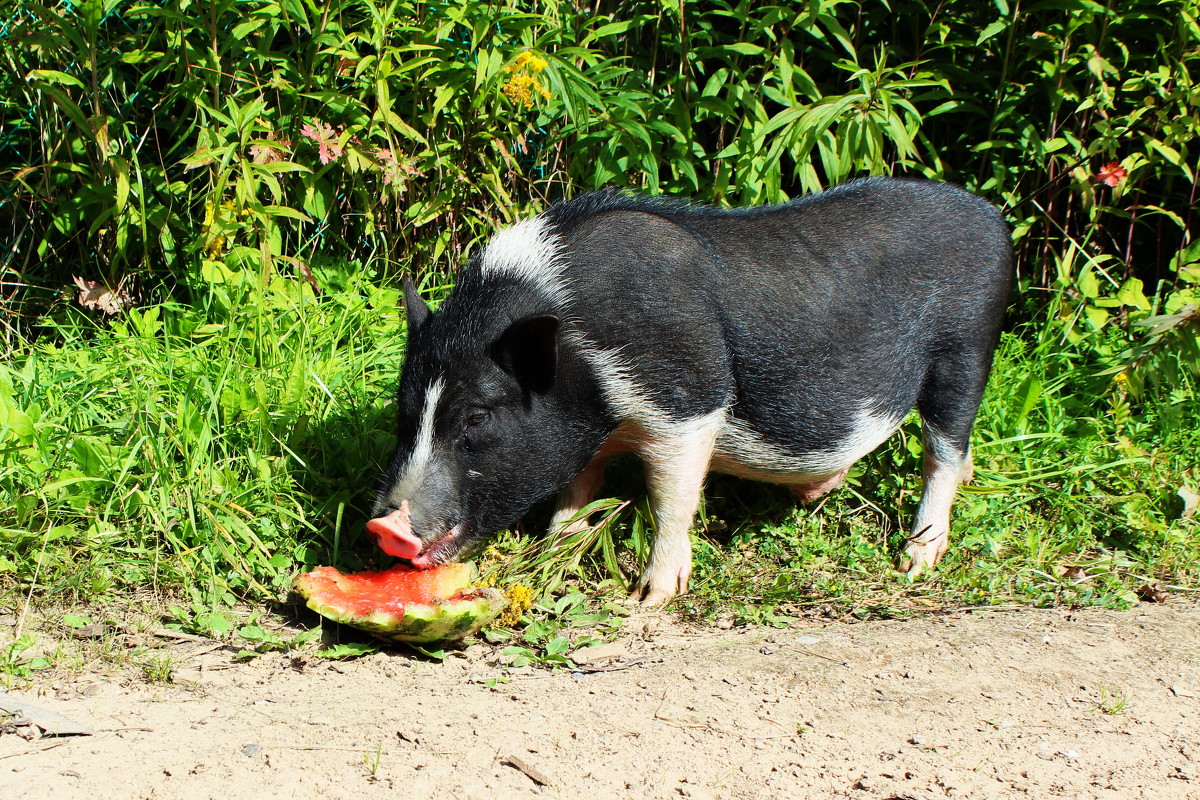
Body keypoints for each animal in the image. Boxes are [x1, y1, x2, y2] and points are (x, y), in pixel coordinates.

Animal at [364, 178, 1012, 604]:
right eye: (404, 415)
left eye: (476, 419)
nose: (384, 527)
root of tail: (994, 217)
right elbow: (579, 487)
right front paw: (553, 549)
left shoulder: (690, 400)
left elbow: (670, 498)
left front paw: (652, 598)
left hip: (967, 352)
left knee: (943, 451)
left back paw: (915, 561)